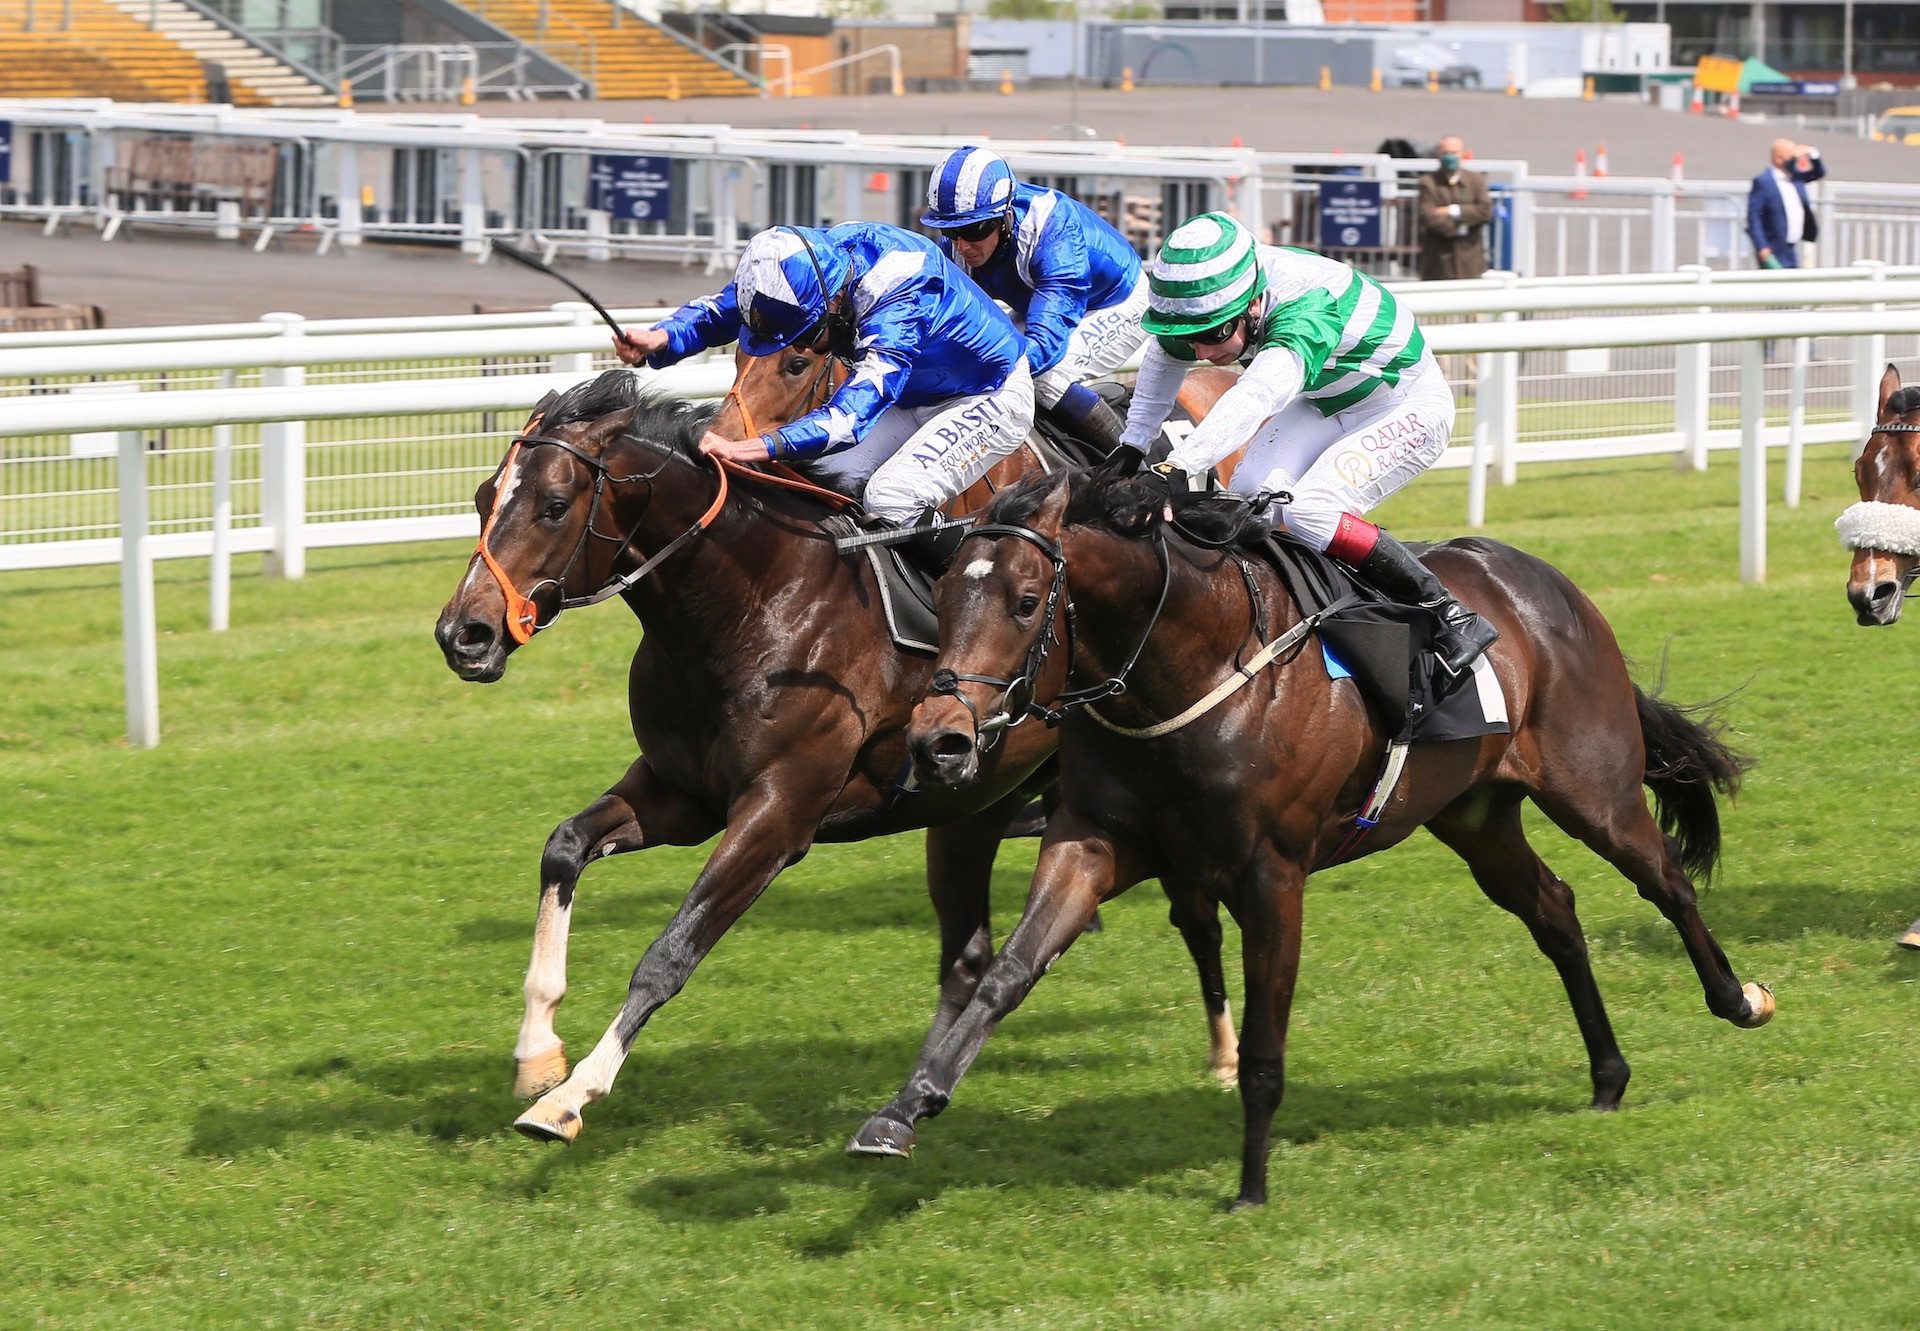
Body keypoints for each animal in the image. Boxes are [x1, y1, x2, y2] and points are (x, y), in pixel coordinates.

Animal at [433, 366, 1244, 1144]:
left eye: (554, 504)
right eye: (483, 496)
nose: (463, 634)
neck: (755, 602)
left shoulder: (777, 813)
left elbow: (669, 953)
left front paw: (572, 1096)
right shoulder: (679, 794)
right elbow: (564, 847)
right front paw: (538, 1051)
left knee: (1194, 914)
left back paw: (1226, 1053)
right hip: (974, 807)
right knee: (971, 954)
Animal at [848, 472, 1774, 1206]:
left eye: (1025, 601)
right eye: (945, 597)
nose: (939, 740)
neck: (1193, 669)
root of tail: (1547, 583)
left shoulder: (1271, 877)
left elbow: (1264, 1043)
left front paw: (1250, 1186)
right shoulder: (1093, 845)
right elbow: (1005, 974)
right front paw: (902, 1108)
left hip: (1594, 789)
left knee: (1665, 879)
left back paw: (1738, 998)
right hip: (1473, 814)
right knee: (1554, 908)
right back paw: (1608, 1076)